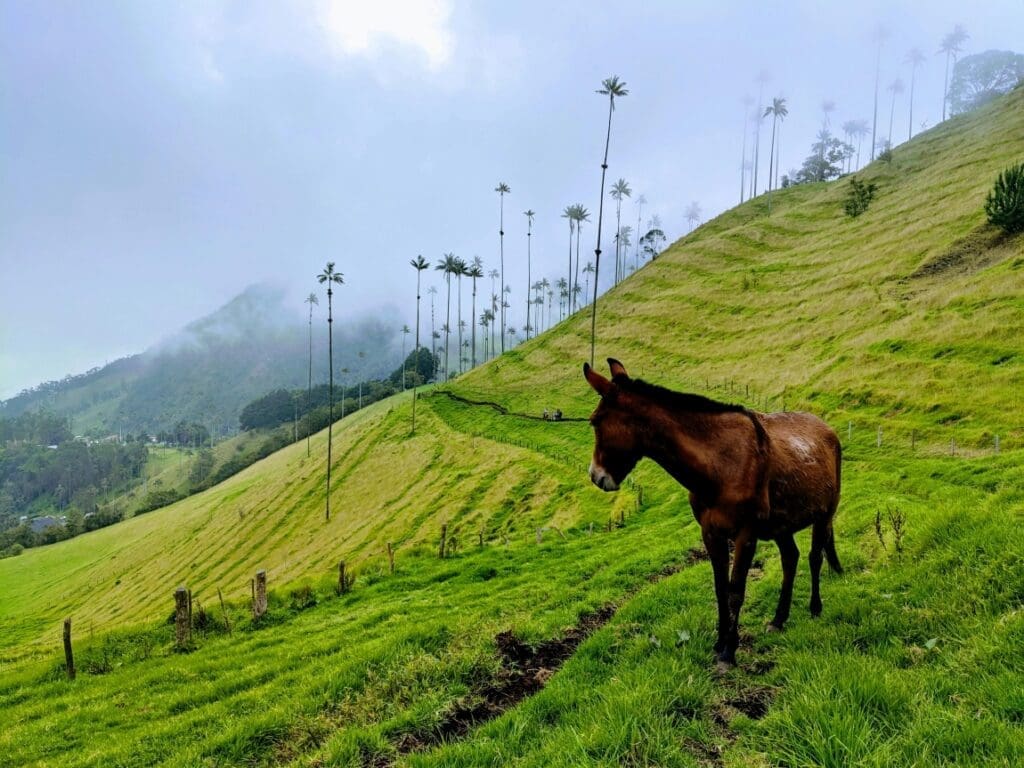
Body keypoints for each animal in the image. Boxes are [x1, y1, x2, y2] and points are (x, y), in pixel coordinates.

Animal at [584, 359, 842, 668]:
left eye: (595, 421)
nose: (596, 476)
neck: (721, 463)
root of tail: (826, 428)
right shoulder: (710, 532)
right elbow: (720, 588)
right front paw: (719, 643)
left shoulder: (745, 535)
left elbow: (736, 591)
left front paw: (729, 653)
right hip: (782, 525)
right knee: (790, 559)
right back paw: (779, 619)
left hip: (824, 514)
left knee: (815, 557)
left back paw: (815, 607)